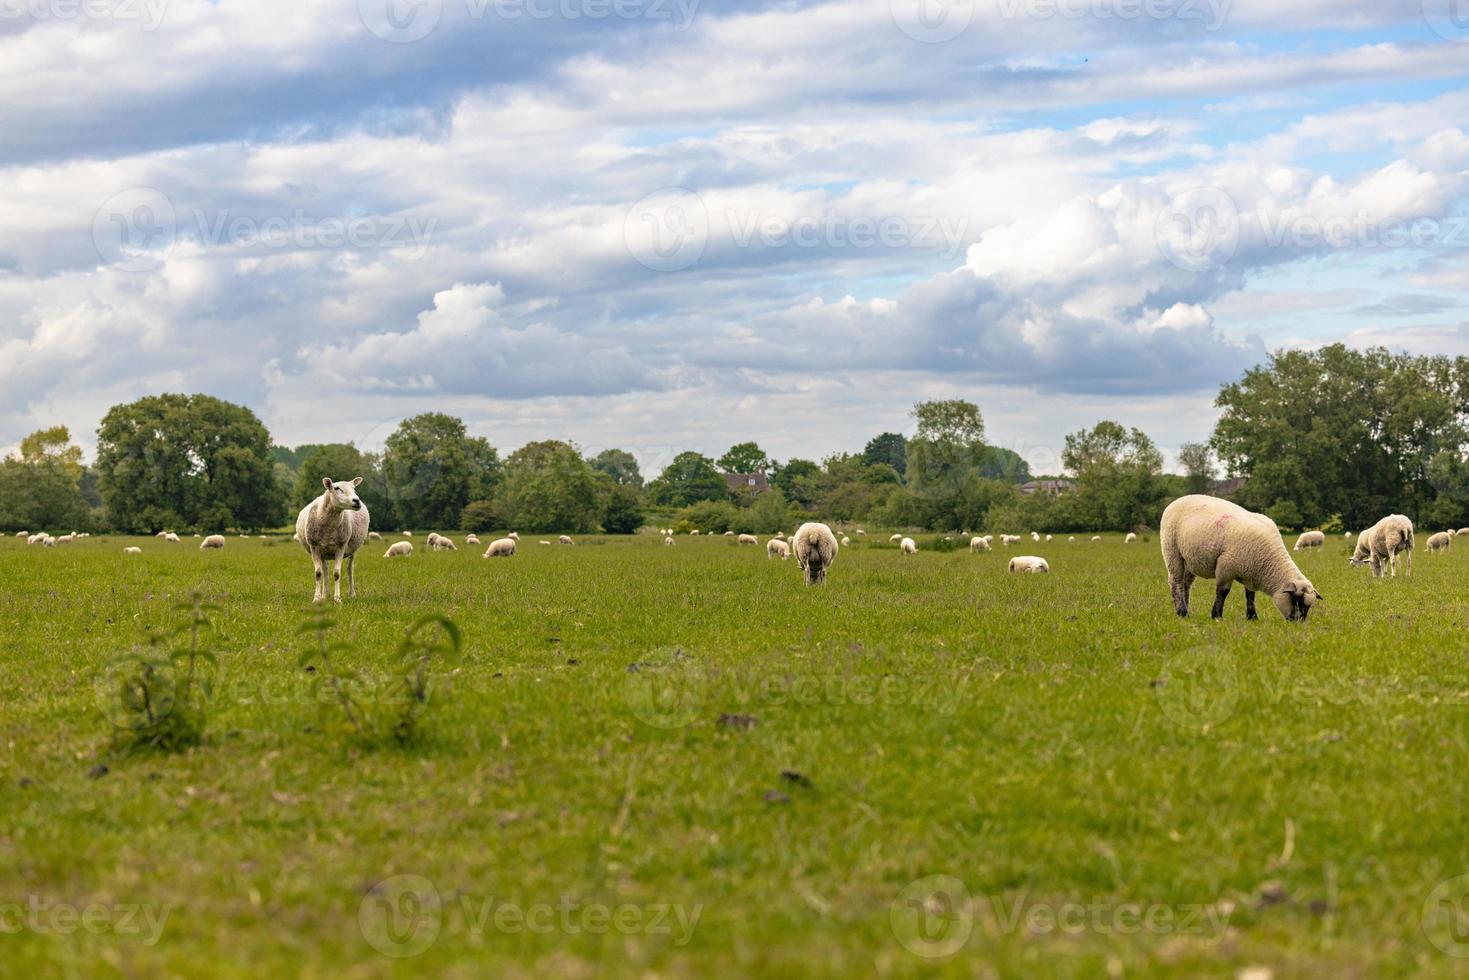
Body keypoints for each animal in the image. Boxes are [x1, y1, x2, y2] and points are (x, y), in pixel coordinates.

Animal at [295, 476, 370, 605]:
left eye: (354, 488)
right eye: (336, 488)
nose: (356, 501)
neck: (329, 528)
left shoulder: (341, 546)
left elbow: (337, 573)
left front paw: (337, 599)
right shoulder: (314, 547)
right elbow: (318, 573)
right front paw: (317, 598)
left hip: (352, 550)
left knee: (350, 570)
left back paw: (352, 594)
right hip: (323, 552)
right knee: (325, 571)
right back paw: (325, 595)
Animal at [1163, 493, 1327, 625]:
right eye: (1296, 600)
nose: (1299, 623)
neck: (1269, 562)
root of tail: (1179, 499)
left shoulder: (1250, 572)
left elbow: (1250, 595)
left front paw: (1252, 617)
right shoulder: (1225, 568)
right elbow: (1222, 592)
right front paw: (1217, 616)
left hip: (1189, 560)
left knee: (1186, 583)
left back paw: (1186, 607)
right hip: (1172, 551)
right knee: (1176, 581)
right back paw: (1182, 612)